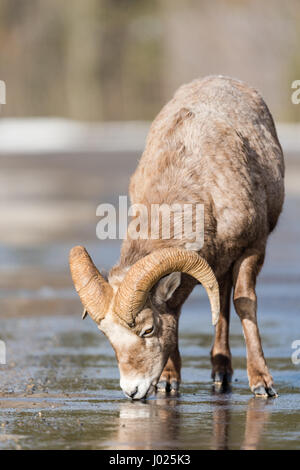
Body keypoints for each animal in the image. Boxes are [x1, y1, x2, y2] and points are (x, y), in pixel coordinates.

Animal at [69, 76, 284, 400]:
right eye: (108, 336)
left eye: (147, 329)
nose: (132, 391)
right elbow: (179, 311)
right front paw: (169, 381)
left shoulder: (253, 247)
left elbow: (244, 302)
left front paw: (262, 383)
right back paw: (219, 370)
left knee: (224, 300)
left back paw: (223, 374)